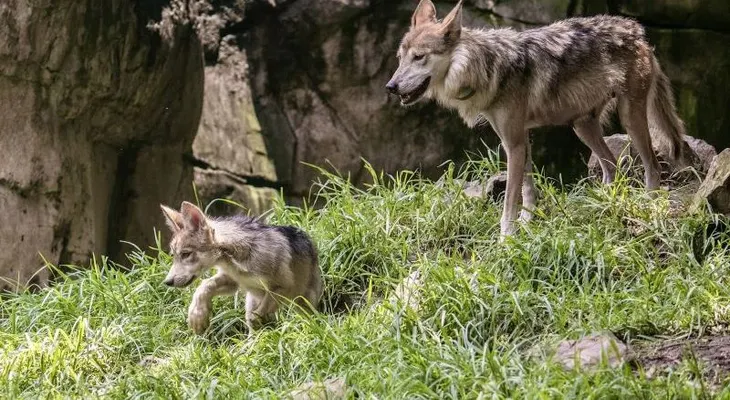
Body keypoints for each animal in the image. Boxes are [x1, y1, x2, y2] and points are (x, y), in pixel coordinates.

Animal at [160, 201, 323, 335]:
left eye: (186, 254)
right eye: (174, 255)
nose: (167, 282)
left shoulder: (283, 287)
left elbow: (256, 317)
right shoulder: (233, 281)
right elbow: (203, 286)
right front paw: (197, 315)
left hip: (302, 303)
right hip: (251, 300)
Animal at [386, 0, 694, 239]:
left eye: (419, 57)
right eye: (400, 58)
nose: (390, 87)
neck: (485, 67)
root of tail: (638, 32)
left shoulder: (513, 143)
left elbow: (510, 198)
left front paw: (506, 237)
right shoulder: (520, 139)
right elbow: (527, 188)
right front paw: (527, 223)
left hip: (630, 119)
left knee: (653, 167)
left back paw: (647, 204)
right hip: (582, 126)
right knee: (612, 167)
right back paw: (602, 205)